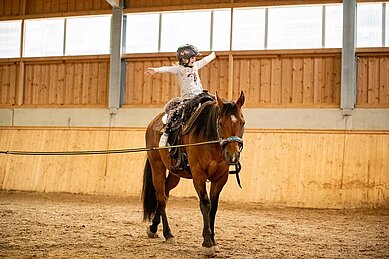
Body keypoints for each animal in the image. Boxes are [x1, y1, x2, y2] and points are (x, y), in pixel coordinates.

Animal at [141, 91, 244, 256]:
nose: (233, 155)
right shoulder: (198, 175)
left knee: (165, 194)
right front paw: (207, 243)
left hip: (175, 174)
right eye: (220, 123)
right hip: (157, 167)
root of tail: (152, 124)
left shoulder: (220, 178)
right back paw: (168, 234)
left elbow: (213, 208)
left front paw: (213, 241)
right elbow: (205, 204)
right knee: (161, 198)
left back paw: (153, 228)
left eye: (243, 122)